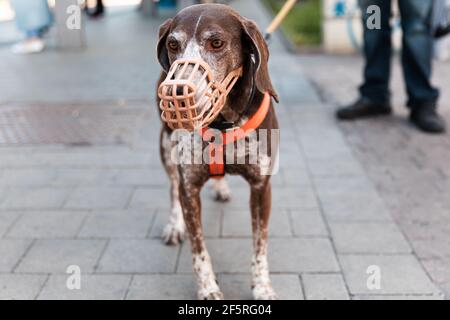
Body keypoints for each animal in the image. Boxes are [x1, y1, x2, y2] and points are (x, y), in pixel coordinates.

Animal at [156, 3, 280, 300]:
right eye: (173, 44)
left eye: (216, 43)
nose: (177, 92)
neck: (222, 123)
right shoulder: (189, 189)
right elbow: (199, 250)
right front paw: (208, 288)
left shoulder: (261, 188)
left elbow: (260, 245)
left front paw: (262, 286)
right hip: (165, 146)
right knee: (172, 187)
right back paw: (174, 225)